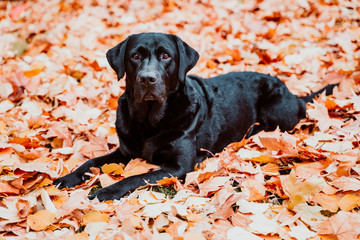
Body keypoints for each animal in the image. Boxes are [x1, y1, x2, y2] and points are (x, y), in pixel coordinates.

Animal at [54, 32, 338, 201]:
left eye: (165, 56)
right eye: (134, 56)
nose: (147, 79)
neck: (150, 121)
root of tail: (294, 94)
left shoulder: (178, 167)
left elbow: (135, 177)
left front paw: (106, 190)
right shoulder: (125, 151)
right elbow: (91, 162)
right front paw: (66, 179)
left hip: (277, 112)